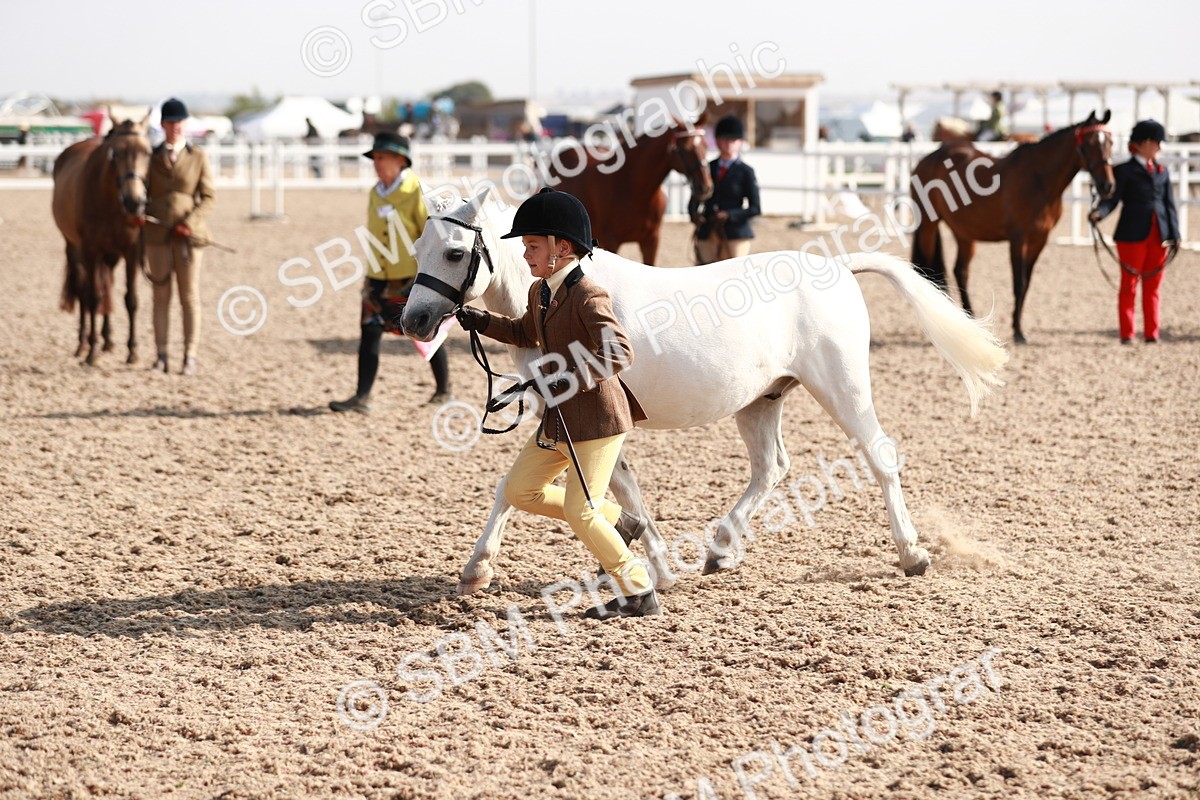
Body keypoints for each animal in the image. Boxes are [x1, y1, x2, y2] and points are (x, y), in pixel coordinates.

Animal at [51, 110, 152, 364]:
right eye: (115, 153)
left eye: (147, 152)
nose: (134, 202)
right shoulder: (90, 250)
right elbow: (92, 297)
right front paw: (92, 351)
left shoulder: (131, 252)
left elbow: (131, 300)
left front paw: (132, 351)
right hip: (73, 248)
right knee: (83, 290)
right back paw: (83, 344)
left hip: (110, 256)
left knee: (106, 286)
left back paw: (107, 340)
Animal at [401, 189, 1008, 596]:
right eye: (417, 247)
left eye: (454, 252)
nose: (413, 320)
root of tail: (836, 266)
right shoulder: (567, 419)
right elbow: (535, 488)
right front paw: (478, 569)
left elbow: (601, 489)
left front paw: (648, 565)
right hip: (761, 400)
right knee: (772, 467)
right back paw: (720, 551)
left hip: (842, 387)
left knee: (879, 456)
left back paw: (913, 554)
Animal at [544, 116, 712, 265]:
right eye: (685, 148)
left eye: (705, 145)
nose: (706, 187)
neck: (635, 189)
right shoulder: (612, 241)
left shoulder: (651, 241)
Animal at [911, 110, 1115, 344]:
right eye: (1089, 144)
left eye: (1110, 142)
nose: (1107, 186)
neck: (1039, 179)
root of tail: (928, 158)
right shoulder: (1018, 239)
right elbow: (1019, 283)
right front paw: (1018, 332)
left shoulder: (1039, 240)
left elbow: (1026, 284)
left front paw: (1018, 327)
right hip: (927, 226)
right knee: (927, 271)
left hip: (964, 233)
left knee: (961, 271)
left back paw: (968, 319)